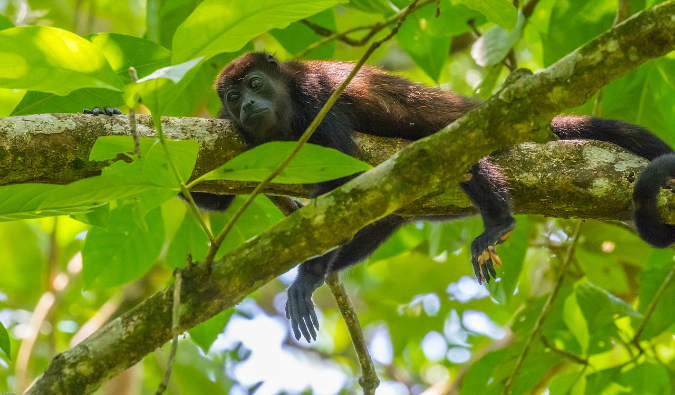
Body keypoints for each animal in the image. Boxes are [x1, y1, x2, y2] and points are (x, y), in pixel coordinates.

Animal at [189, 52, 675, 344]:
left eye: (255, 84)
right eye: (232, 96)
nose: (246, 105)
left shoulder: (316, 99)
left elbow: (346, 180)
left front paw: (306, 276)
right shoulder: (239, 135)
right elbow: (217, 201)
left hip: (470, 128)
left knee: (454, 152)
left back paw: (498, 222)